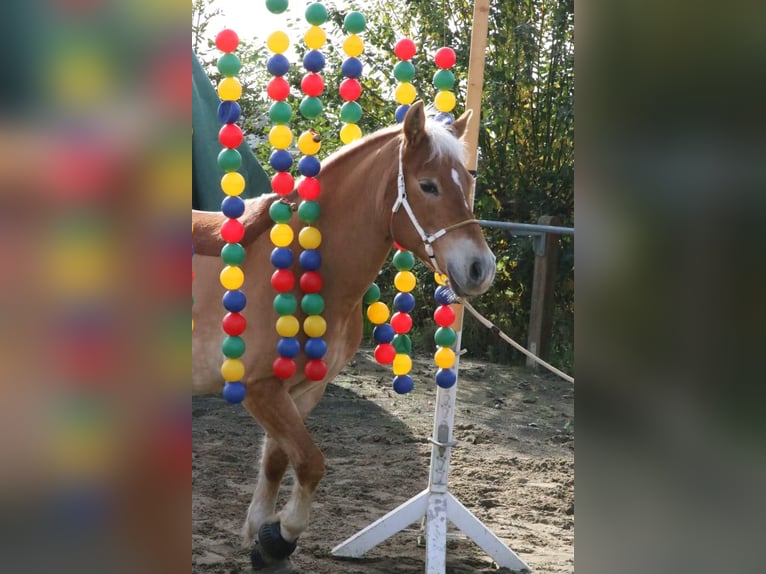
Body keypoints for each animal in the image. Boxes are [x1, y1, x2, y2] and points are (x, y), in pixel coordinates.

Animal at [192, 101, 496, 569]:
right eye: (428, 186)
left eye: (466, 181)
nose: (481, 268)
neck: (301, 264)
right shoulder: (259, 389)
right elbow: (310, 462)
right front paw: (280, 535)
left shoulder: (304, 390)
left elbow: (279, 459)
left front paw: (262, 535)